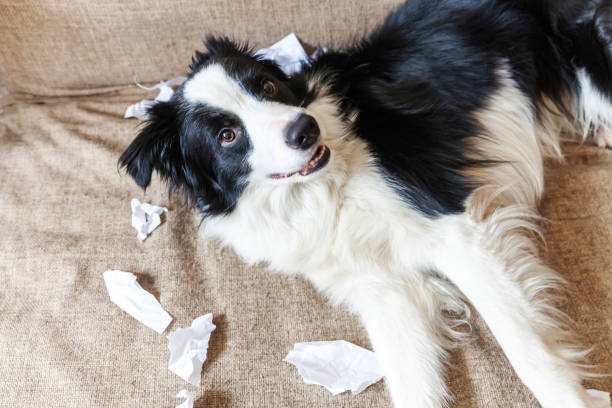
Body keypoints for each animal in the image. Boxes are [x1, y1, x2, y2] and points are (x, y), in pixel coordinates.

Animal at [120, 1, 612, 406]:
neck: (321, 190)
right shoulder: (382, 290)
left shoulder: (455, 231)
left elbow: (527, 349)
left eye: (267, 86)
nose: (305, 130)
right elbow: (411, 385)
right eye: (227, 135)